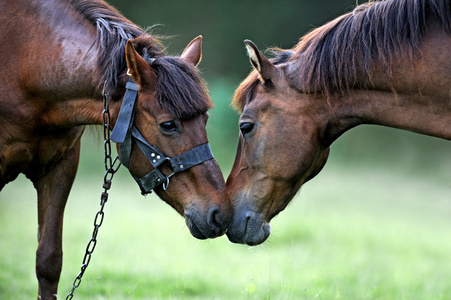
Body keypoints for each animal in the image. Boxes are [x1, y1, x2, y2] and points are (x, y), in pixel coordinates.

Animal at [0, 0, 231, 298]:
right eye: (168, 124)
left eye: (205, 118)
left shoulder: (60, 168)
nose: (221, 214)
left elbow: (49, 262)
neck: (29, 65)